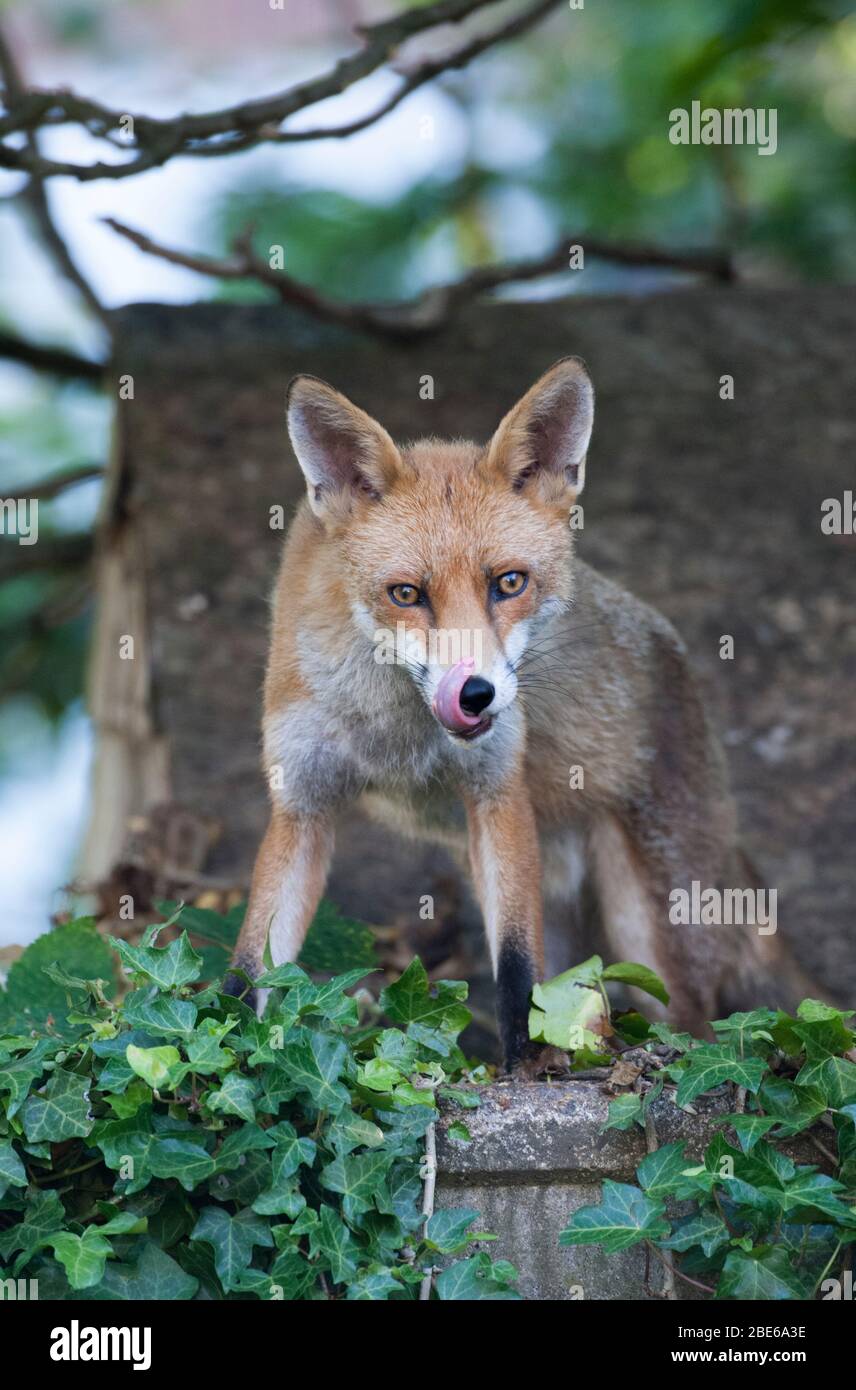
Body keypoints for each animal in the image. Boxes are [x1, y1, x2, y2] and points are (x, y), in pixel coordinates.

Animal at [225, 358, 819, 1072]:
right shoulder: (302, 806)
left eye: (509, 583)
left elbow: (515, 968)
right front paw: (222, 1051)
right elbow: (250, 968)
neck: (391, 733)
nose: (475, 693)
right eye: (406, 593)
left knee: (699, 1031)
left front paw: (522, 1069)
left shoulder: (497, 792)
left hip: (648, 930)